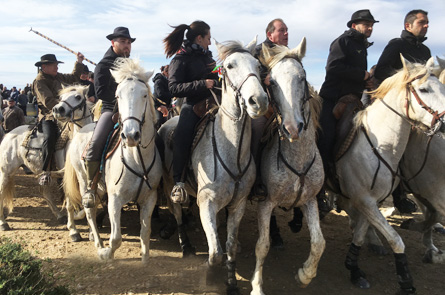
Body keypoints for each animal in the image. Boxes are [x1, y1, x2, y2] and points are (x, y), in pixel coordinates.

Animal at [0, 85, 92, 231]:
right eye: (61, 97)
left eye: (78, 97)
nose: (57, 109)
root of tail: (9, 134)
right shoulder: (67, 176)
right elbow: (70, 202)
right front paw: (73, 228)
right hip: (6, 172)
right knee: (1, 192)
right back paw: (3, 223)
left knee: (45, 193)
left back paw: (59, 215)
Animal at [62, 58, 160, 264]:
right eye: (117, 95)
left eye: (144, 95)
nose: (130, 135)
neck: (137, 158)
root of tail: (80, 132)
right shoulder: (115, 199)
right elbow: (116, 238)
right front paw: (105, 253)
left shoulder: (150, 198)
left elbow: (145, 231)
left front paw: (145, 259)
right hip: (83, 181)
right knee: (89, 210)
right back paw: (97, 241)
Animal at [156, 38, 268, 294]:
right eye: (229, 66)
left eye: (258, 65)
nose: (258, 101)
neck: (232, 152)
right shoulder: (205, 202)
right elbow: (215, 252)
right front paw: (209, 275)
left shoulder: (237, 205)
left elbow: (229, 246)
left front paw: (231, 282)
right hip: (169, 182)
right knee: (177, 211)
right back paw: (185, 246)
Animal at [248, 40, 324, 295]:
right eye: (271, 82)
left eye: (302, 77)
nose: (292, 128)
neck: (298, 159)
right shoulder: (266, 202)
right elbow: (261, 246)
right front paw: (257, 286)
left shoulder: (310, 201)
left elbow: (319, 243)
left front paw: (305, 275)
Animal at [332, 56, 444, 294]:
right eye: (424, 89)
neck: (379, 145)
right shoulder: (365, 200)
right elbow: (396, 240)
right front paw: (406, 280)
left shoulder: (369, 201)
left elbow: (360, 234)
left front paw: (353, 268)